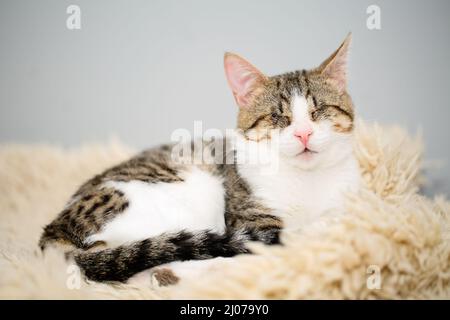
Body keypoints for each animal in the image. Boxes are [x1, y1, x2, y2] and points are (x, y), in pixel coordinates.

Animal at [39, 34, 362, 282]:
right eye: (277, 117)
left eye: (318, 111)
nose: (304, 134)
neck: (308, 179)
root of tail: (55, 230)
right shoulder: (254, 224)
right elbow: (272, 248)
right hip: (192, 194)